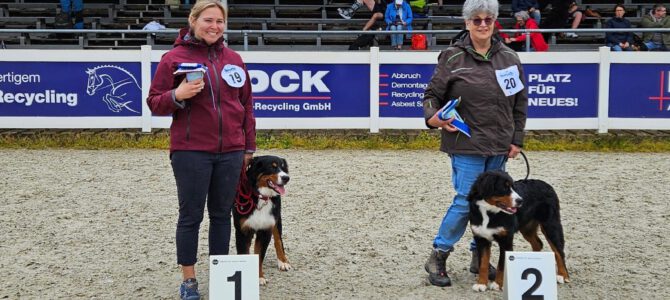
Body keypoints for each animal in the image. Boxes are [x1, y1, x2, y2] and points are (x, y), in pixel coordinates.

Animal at [234, 156, 292, 284]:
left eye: (283, 167)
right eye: (272, 167)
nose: (286, 178)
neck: (261, 198)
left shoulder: (265, 231)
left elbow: (260, 256)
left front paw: (259, 277)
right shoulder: (243, 231)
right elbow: (245, 253)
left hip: (276, 218)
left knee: (278, 240)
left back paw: (283, 261)